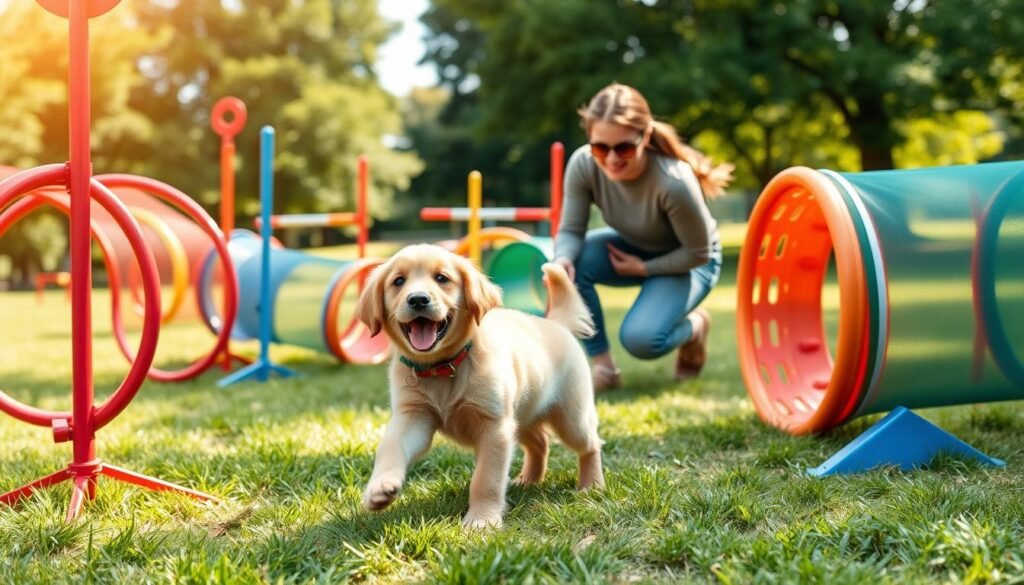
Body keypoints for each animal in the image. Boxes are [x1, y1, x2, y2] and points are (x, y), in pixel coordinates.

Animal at [356, 244, 602, 528]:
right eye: (398, 281)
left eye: (442, 278)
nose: (418, 299)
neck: (443, 366)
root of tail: (556, 324)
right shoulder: (413, 416)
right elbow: (390, 447)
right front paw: (379, 488)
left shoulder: (494, 425)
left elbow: (486, 479)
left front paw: (482, 521)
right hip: (521, 417)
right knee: (541, 442)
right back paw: (528, 480)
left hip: (570, 418)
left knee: (590, 443)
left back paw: (592, 485)